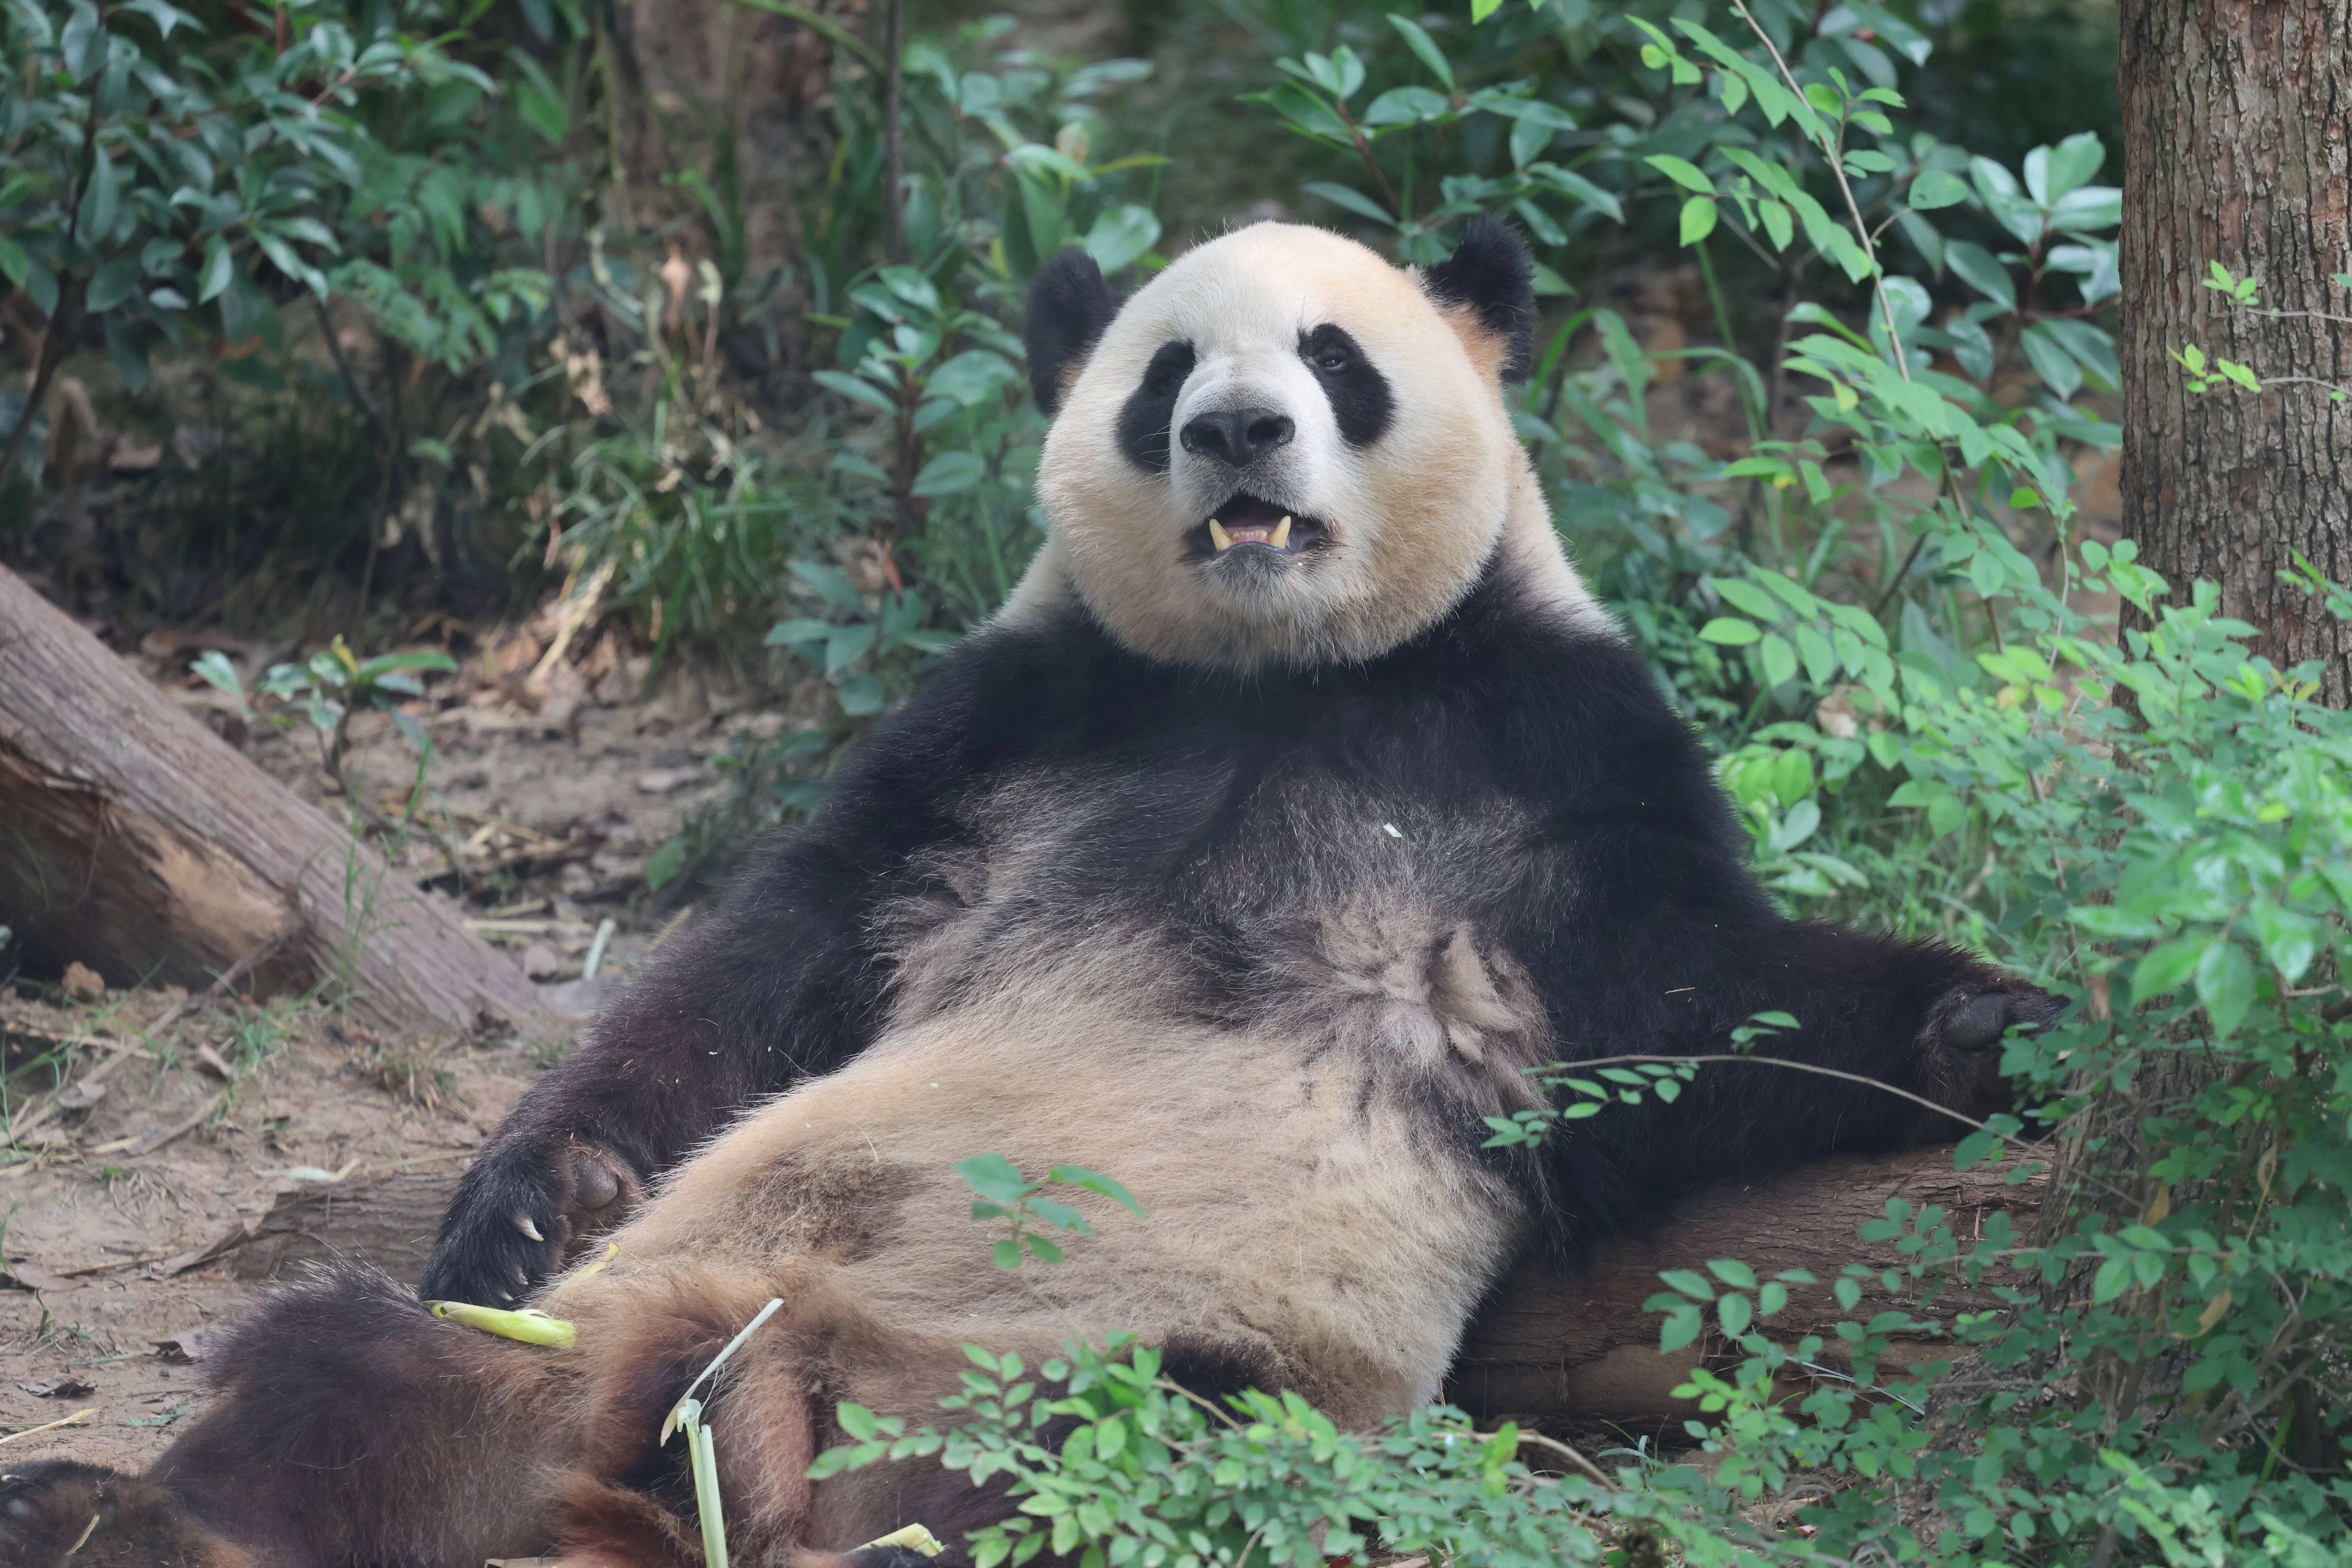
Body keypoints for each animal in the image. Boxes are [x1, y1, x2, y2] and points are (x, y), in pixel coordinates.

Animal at [0, 218, 2050, 1568]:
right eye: (1167, 374)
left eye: (1334, 360)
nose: (1239, 433)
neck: (1279, 681)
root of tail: (712, 1423)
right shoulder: (1010, 724)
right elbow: (772, 957)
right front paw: (528, 1188)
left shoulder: (1541, 745)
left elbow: (1689, 998)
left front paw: (1991, 1024)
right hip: (585, 1338)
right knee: (352, 1381)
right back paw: (116, 1513)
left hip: (1120, 1378)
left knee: (1049, 1481)